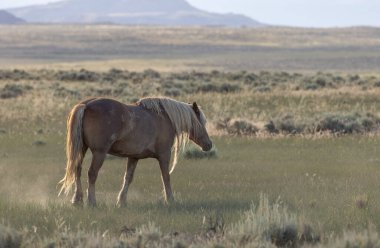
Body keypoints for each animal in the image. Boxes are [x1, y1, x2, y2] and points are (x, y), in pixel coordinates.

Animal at [59, 97, 214, 207]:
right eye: (202, 122)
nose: (209, 144)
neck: (165, 118)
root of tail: (86, 105)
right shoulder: (164, 155)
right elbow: (166, 177)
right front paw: (170, 199)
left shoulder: (133, 157)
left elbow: (128, 178)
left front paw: (121, 201)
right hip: (99, 153)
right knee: (91, 174)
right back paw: (92, 201)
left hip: (82, 149)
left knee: (77, 170)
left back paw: (77, 200)